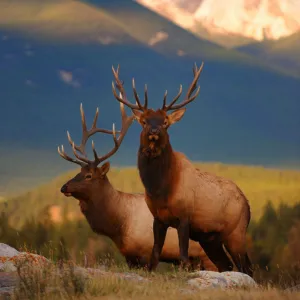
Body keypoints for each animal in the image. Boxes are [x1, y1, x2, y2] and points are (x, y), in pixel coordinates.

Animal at [111, 62, 252, 276]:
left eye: (165, 122)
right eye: (144, 121)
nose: (154, 131)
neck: (161, 190)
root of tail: (248, 205)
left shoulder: (185, 217)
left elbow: (184, 257)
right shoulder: (158, 219)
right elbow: (154, 257)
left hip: (236, 232)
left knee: (246, 268)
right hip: (211, 239)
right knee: (226, 265)